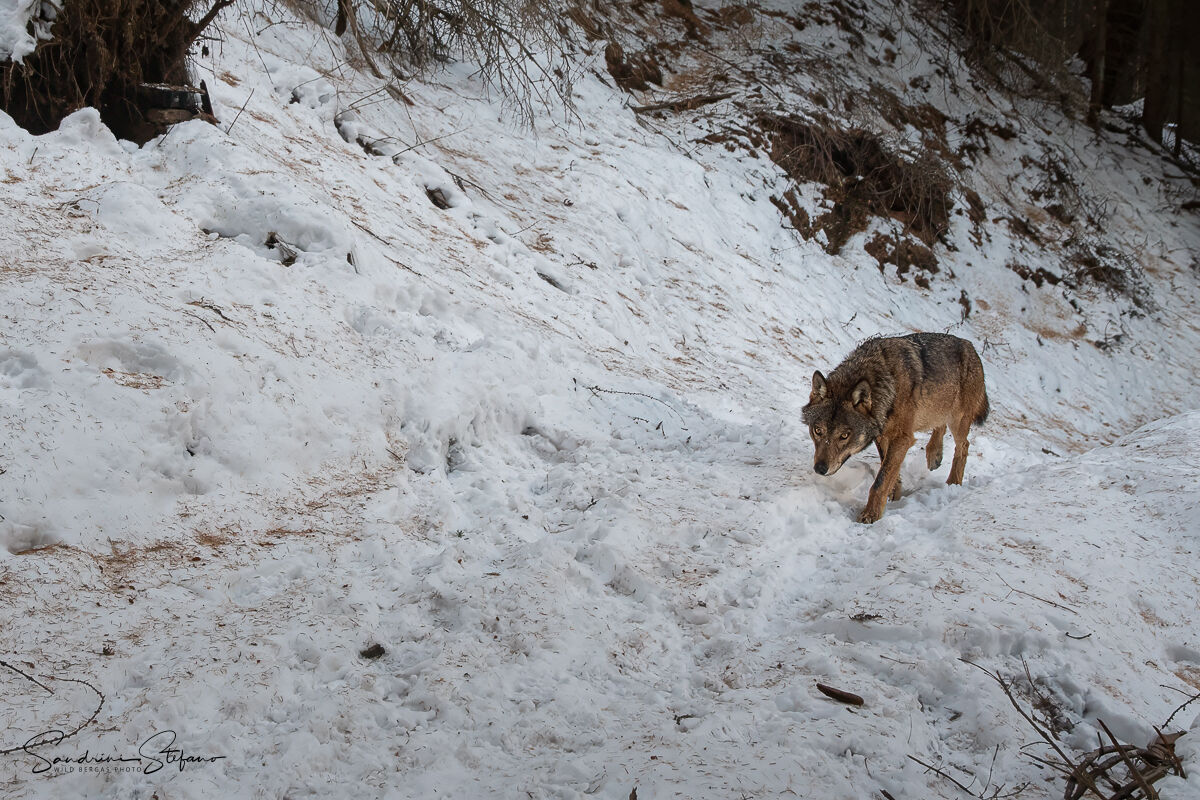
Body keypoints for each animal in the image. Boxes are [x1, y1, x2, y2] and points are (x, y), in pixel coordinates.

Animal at [801, 332, 989, 523]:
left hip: (958, 420)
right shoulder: (882, 434)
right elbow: (888, 469)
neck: (887, 383)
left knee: (963, 446)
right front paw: (894, 495)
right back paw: (934, 454)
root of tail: (970, 345)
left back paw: (953, 482)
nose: (820, 469)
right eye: (818, 431)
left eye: (844, 435)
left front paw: (871, 515)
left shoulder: (901, 438)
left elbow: (880, 481)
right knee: (940, 426)